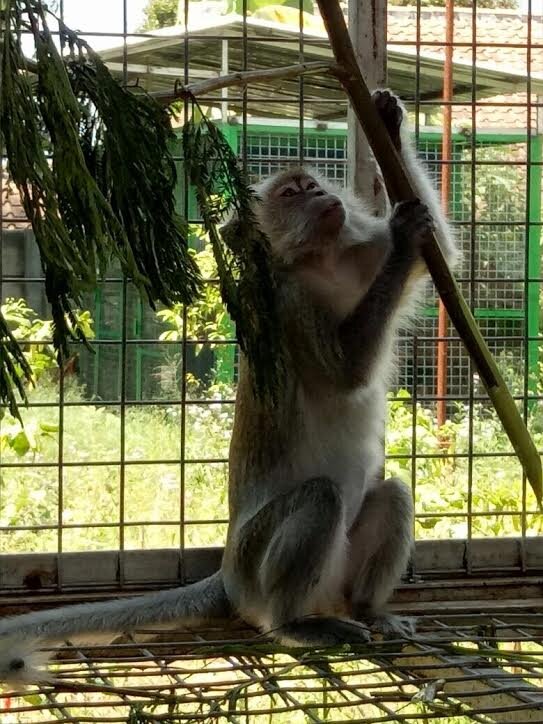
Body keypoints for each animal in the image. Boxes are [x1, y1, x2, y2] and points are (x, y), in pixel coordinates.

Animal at [0, 90, 458, 685]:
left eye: (311, 184)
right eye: (291, 193)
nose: (321, 196)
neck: (322, 263)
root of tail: (229, 575)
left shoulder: (358, 255)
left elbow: (441, 252)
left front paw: (389, 121)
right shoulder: (288, 303)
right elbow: (347, 373)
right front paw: (404, 236)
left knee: (393, 494)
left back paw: (369, 609)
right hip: (256, 562)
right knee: (320, 499)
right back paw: (294, 624)